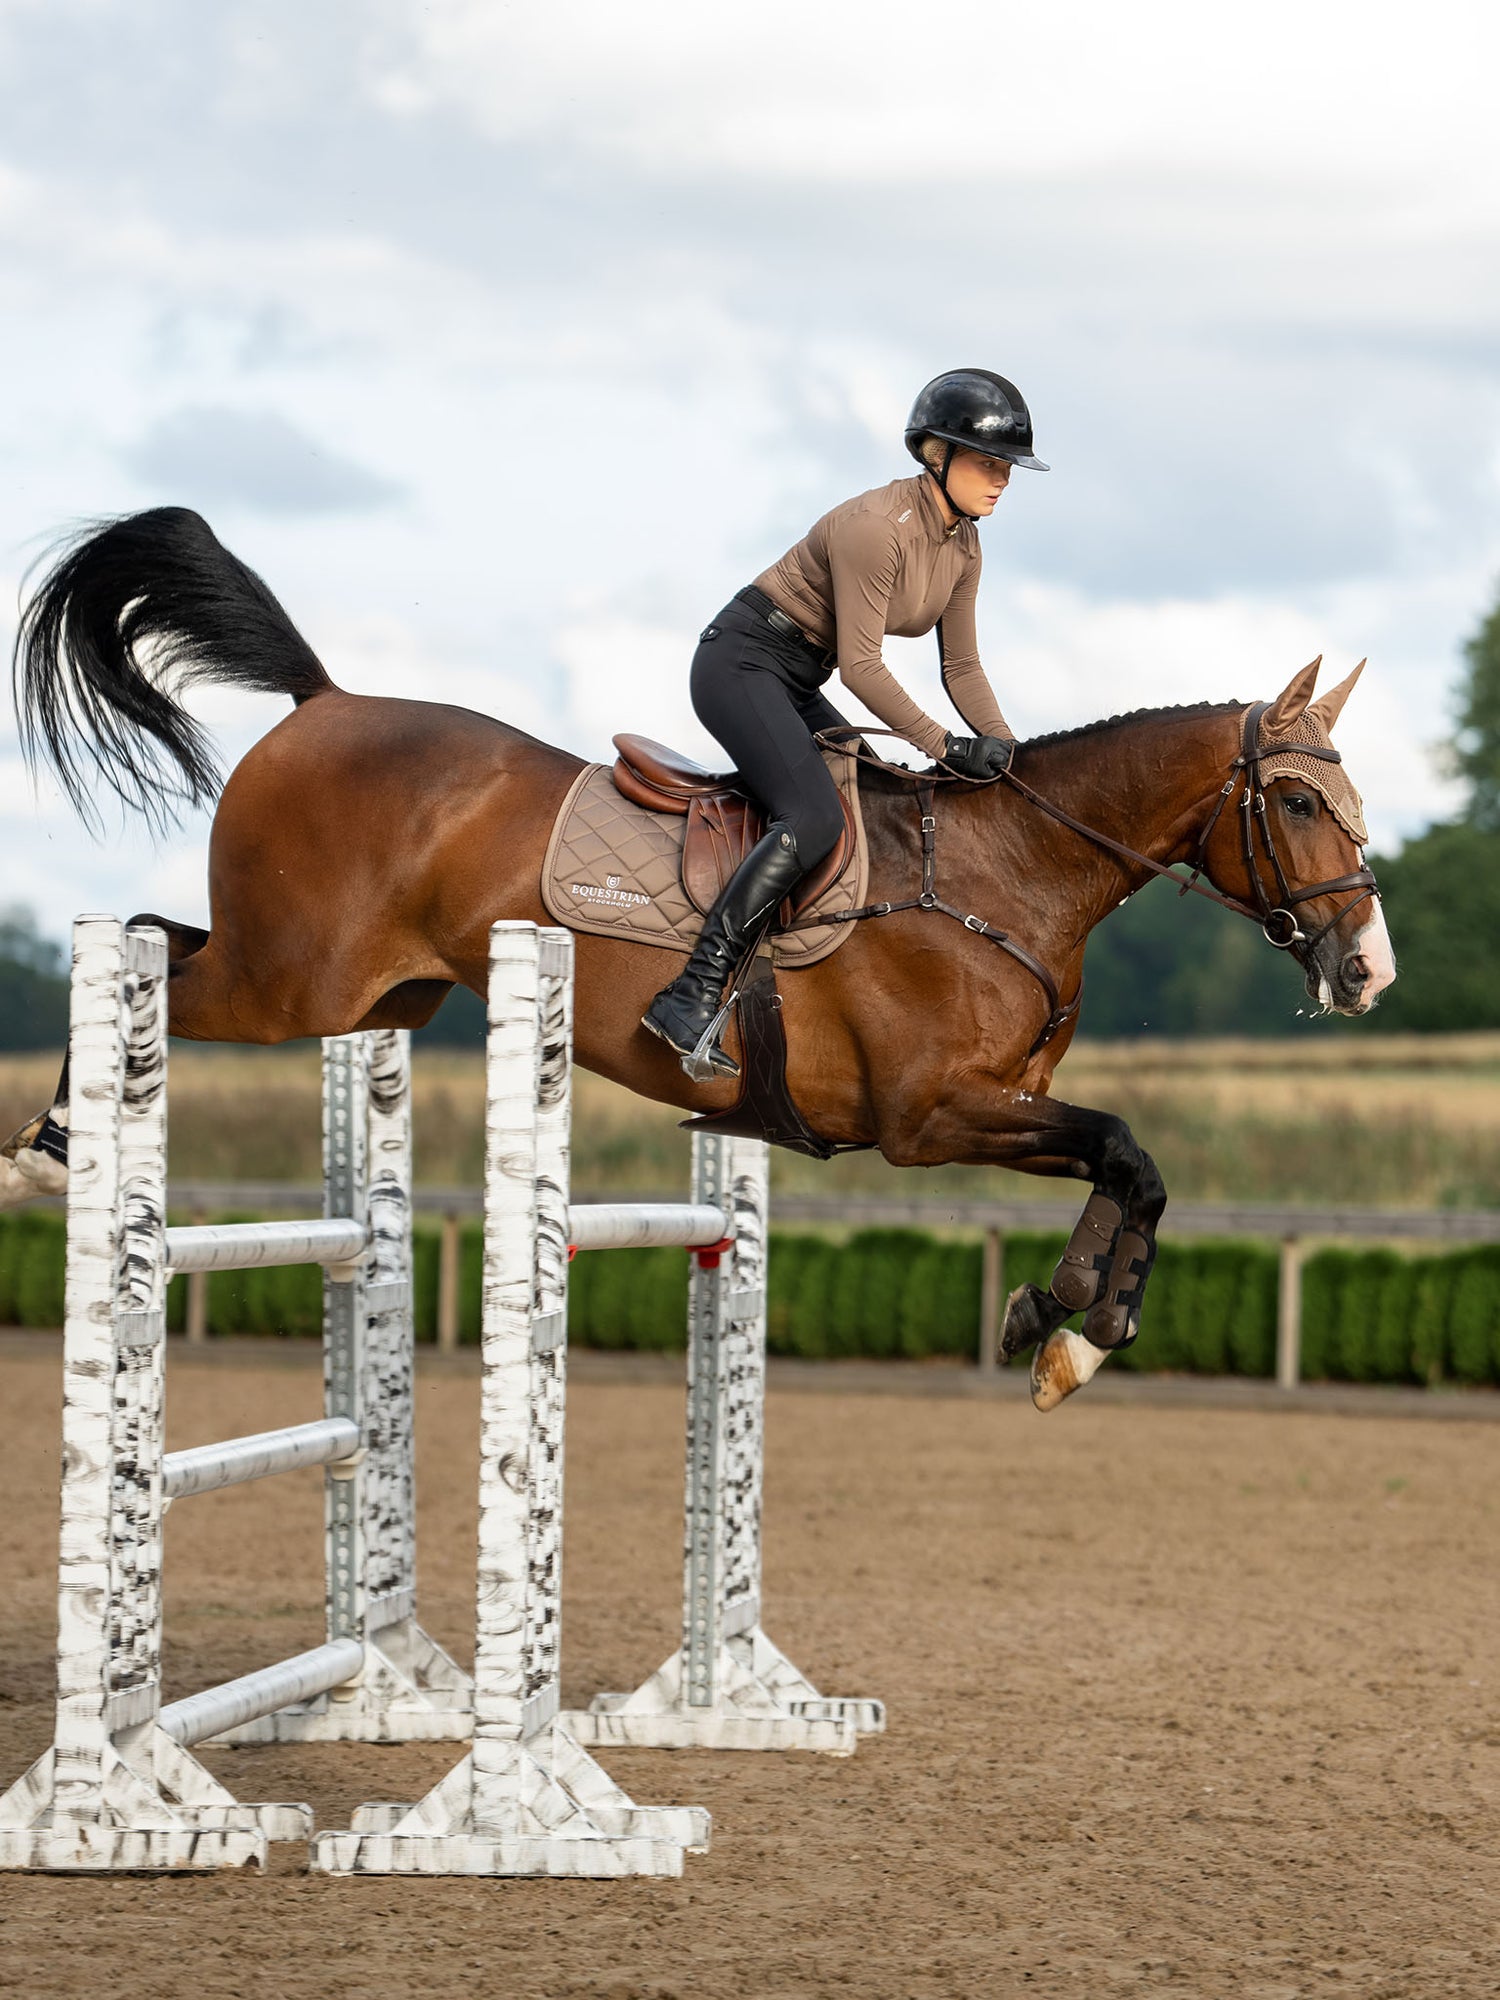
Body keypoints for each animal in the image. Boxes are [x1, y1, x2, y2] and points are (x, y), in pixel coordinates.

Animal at [2, 508, 1395, 1407]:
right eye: (1301, 802)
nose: (1368, 970)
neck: (1009, 871)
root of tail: (323, 700)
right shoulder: (930, 1117)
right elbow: (1127, 1146)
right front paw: (1084, 1324)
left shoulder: (1000, 1104)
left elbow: (1127, 1162)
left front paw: (1060, 1329)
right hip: (292, 981)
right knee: (145, 958)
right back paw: (51, 1144)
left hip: (364, 987)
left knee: (166, 940)